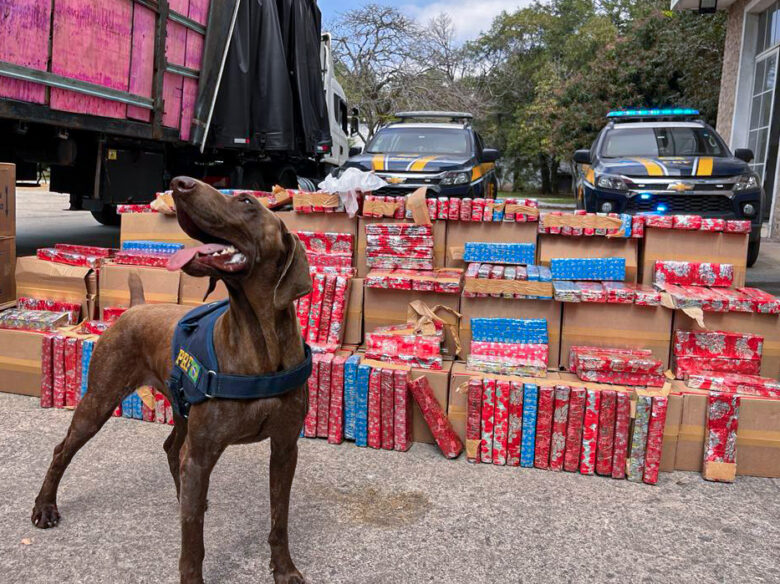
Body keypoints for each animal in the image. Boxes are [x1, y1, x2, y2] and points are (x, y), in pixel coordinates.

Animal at [31, 178, 310, 584]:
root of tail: (134, 308)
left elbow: (280, 519)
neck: (261, 345)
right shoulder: (203, 452)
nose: (180, 184)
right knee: (62, 450)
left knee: (172, 450)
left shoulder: (285, 448)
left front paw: (285, 569)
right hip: (98, 401)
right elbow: (193, 542)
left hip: (180, 409)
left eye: (246, 201)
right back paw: (45, 507)